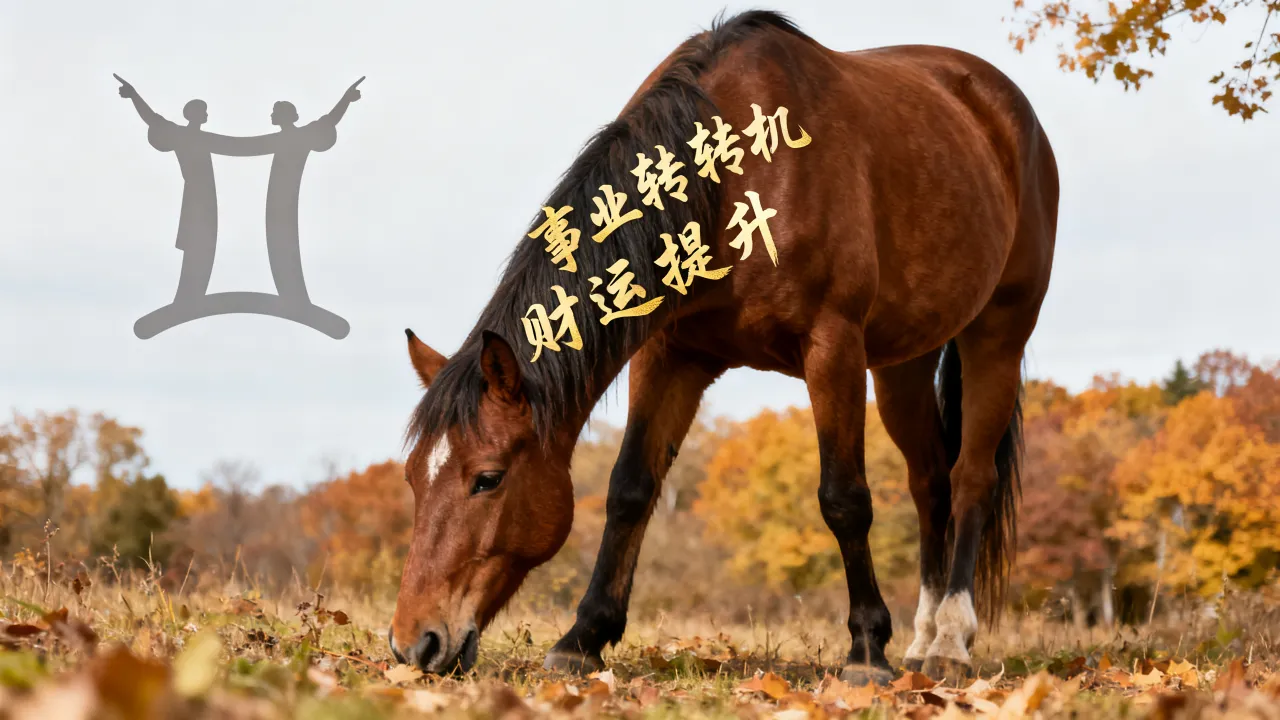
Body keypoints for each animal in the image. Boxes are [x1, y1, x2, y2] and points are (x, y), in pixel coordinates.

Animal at [391, 9, 1058, 685]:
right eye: (414, 477)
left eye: (488, 479)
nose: (414, 643)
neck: (729, 179)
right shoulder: (668, 355)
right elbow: (630, 488)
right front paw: (583, 638)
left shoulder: (833, 345)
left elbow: (844, 499)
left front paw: (867, 649)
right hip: (904, 365)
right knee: (930, 483)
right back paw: (923, 640)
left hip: (998, 333)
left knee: (972, 477)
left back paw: (949, 640)